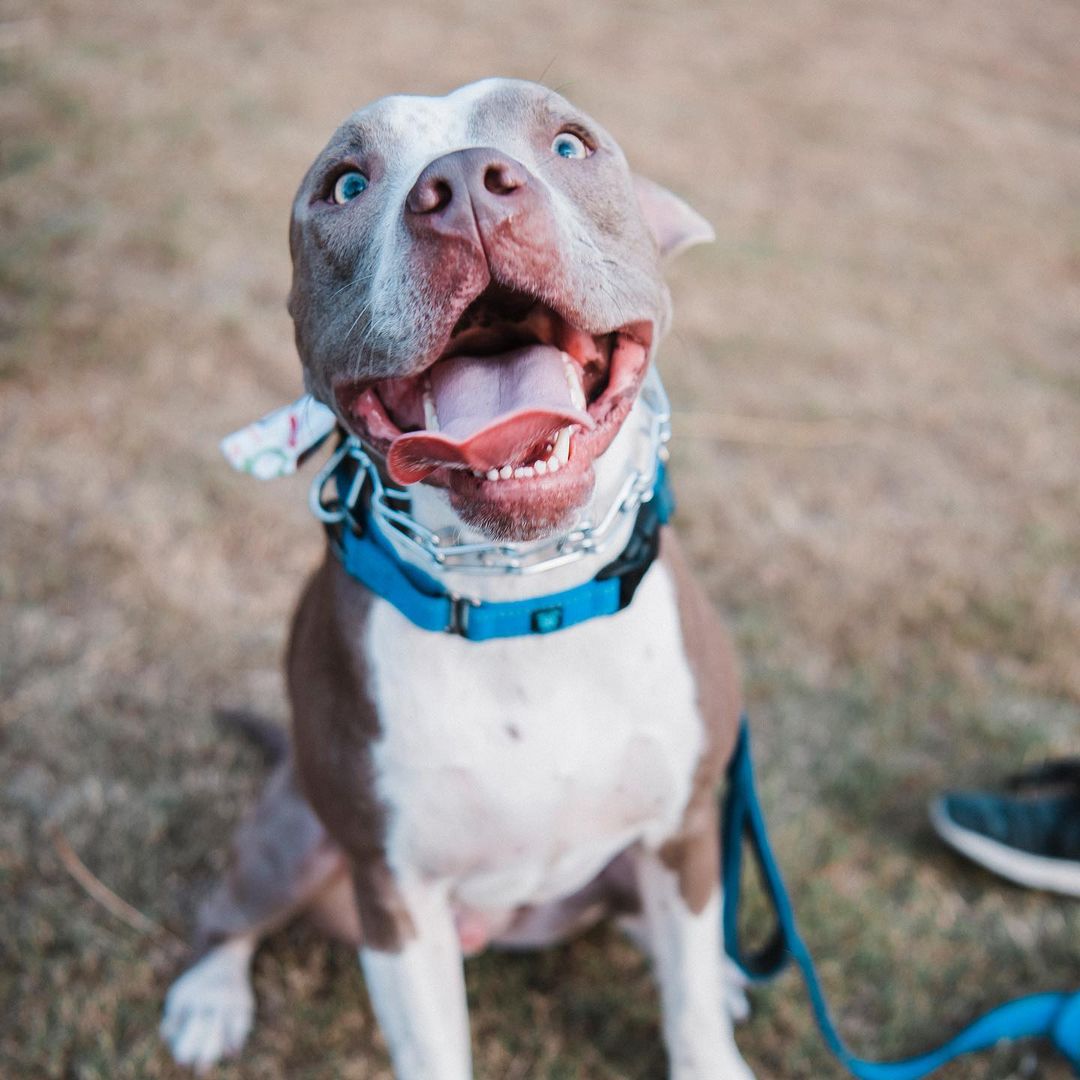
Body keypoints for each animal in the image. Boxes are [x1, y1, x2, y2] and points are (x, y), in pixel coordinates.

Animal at [159, 78, 756, 1080]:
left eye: (570, 143)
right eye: (346, 183)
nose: (465, 184)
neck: (523, 596)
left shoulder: (686, 830)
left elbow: (692, 1015)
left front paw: (705, 1003)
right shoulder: (397, 896)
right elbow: (432, 1045)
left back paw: (716, 969)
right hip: (298, 836)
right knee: (228, 912)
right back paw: (211, 995)